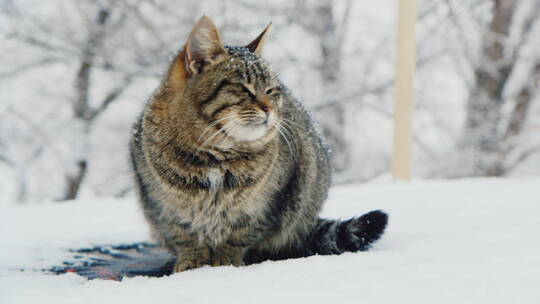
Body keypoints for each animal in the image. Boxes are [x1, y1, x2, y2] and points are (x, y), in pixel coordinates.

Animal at [129, 16, 386, 274]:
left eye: (271, 90)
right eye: (244, 88)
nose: (270, 108)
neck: (216, 156)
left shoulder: (266, 207)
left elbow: (238, 238)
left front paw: (226, 263)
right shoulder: (163, 208)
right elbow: (185, 237)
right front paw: (191, 264)